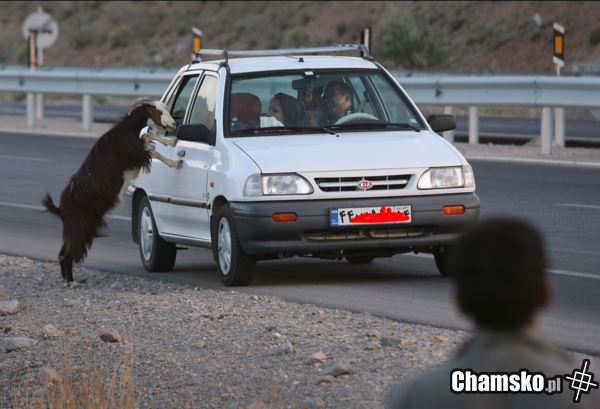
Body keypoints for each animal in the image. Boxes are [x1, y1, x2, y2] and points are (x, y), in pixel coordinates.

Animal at [42, 100, 180, 288]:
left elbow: (147, 138)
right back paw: (71, 282)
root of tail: (61, 208)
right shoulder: (136, 156)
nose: (173, 124)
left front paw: (171, 143)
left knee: (62, 252)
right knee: (68, 253)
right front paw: (176, 161)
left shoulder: (139, 149)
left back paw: (66, 280)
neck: (126, 131)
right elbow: (153, 150)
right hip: (81, 227)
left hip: (72, 228)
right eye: (158, 111)